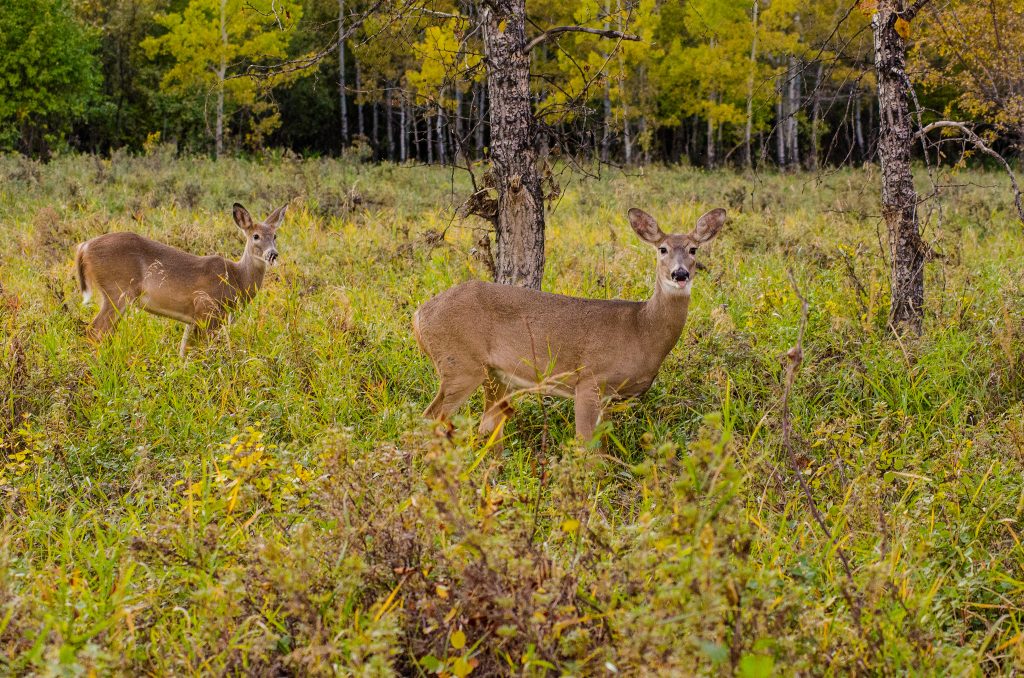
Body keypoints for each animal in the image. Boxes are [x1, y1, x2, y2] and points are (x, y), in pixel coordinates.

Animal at [74, 201, 288, 356]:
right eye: (256, 236)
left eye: (275, 236)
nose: (272, 254)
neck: (237, 279)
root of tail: (84, 247)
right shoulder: (206, 309)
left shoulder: (192, 319)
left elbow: (184, 352)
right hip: (117, 290)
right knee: (95, 331)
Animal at [411, 209, 724, 448]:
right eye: (662, 249)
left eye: (693, 249)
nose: (680, 274)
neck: (642, 329)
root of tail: (419, 315)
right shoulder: (589, 379)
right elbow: (586, 446)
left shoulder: (610, 396)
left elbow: (603, 446)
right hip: (460, 363)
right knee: (431, 417)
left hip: (495, 375)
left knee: (487, 425)